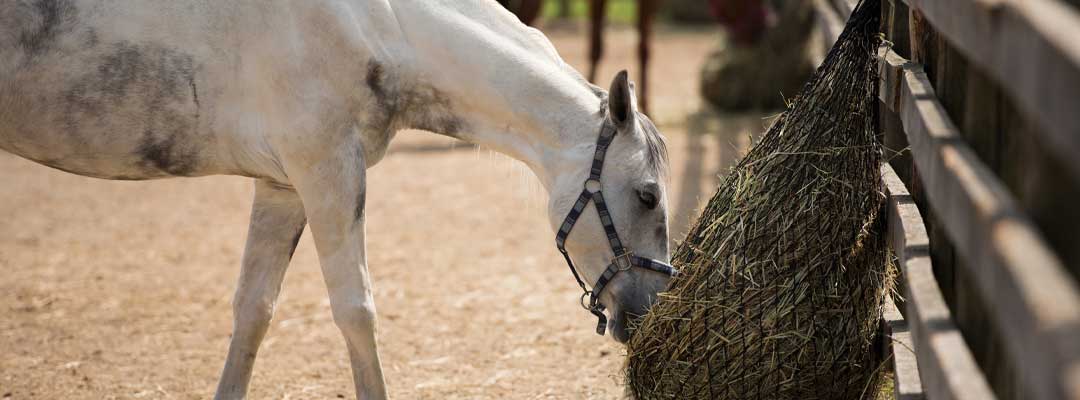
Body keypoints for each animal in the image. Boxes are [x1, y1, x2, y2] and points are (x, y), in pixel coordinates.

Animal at [0, 1, 669, 397]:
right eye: (646, 195)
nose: (648, 312)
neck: (373, 24)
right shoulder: (328, 173)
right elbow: (356, 312)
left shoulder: (283, 188)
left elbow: (253, 311)